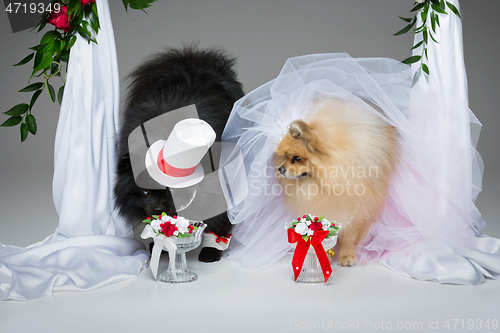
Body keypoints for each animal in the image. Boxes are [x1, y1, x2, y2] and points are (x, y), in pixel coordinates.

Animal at [274, 97, 398, 266]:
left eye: (297, 158)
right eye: (285, 156)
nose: (280, 169)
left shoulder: (355, 208)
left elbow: (348, 237)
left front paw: (346, 256)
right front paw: (325, 256)